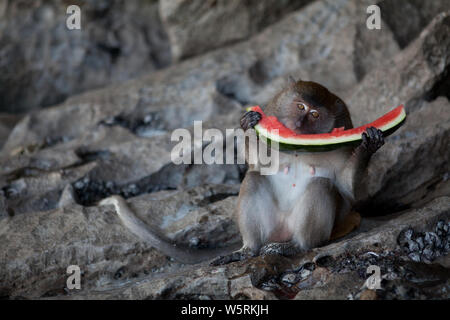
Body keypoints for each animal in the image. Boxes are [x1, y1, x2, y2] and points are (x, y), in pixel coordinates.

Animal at [210, 78, 384, 264]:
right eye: (301, 107)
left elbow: (347, 189)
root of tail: (283, 232)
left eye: (315, 114)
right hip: (273, 227)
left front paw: (368, 146)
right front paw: (248, 125)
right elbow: (258, 165)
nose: (299, 123)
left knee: (321, 184)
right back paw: (249, 248)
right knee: (253, 178)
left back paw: (297, 246)